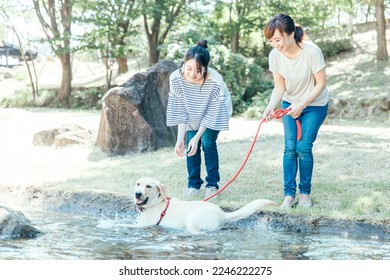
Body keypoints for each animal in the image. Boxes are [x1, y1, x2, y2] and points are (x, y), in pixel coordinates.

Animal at [133, 177, 278, 234]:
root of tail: (223, 213)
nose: (137, 193)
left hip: (191, 219)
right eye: (138, 184)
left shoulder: (143, 225)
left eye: (149, 186)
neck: (156, 203)